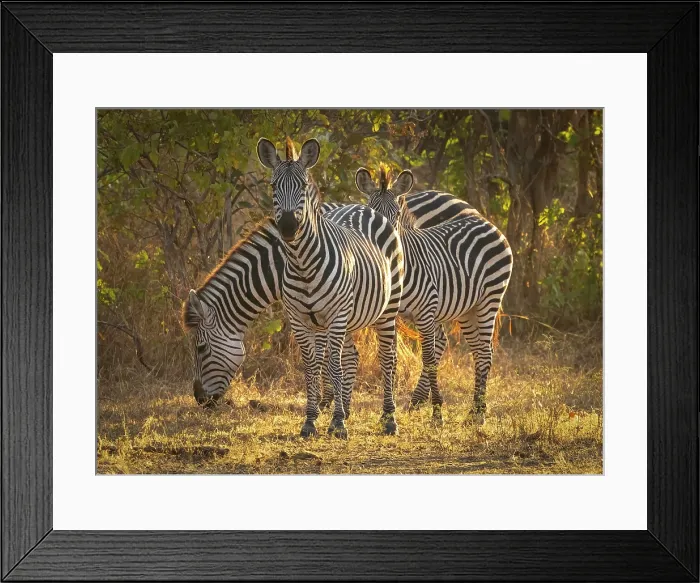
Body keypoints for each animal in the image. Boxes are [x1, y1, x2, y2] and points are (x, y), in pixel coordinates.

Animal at [182, 190, 473, 412]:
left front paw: (326, 401)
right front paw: (332, 399)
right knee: (439, 341)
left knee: (437, 341)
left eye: (201, 349)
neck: (280, 261)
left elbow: (324, 355)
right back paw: (419, 399)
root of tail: (462, 202)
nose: (200, 400)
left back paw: (419, 399)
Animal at [256, 137, 404, 439]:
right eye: (273, 186)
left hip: (387, 309)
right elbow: (312, 367)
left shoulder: (335, 316)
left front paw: (337, 423)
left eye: (302, 186)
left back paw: (389, 419)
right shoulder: (299, 320)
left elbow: (334, 366)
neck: (302, 263)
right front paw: (311, 420)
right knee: (351, 357)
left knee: (387, 358)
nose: (288, 227)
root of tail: (366, 209)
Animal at [356, 165, 513, 423]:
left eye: (397, 214)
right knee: (480, 350)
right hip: (467, 309)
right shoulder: (389, 315)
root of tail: (488, 223)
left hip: (489, 299)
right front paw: (388, 412)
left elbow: (428, 359)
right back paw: (471, 411)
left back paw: (478, 413)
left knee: (484, 352)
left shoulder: (426, 312)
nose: (383, 241)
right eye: (371, 213)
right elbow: (389, 358)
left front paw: (437, 411)